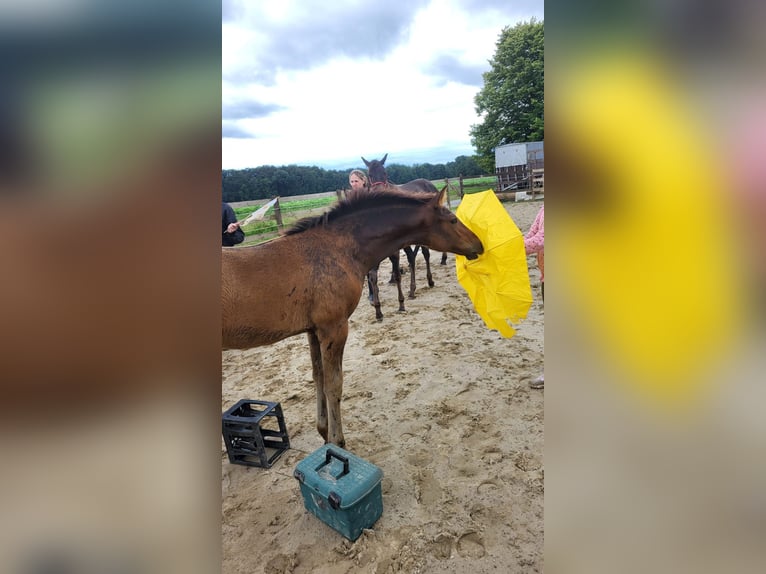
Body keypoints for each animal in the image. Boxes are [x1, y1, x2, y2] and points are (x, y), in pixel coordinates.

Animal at [224, 187, 486, 448]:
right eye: (453, 220)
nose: (480, 245)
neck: (336, 249)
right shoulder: (334, 327)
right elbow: (334, 384)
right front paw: (337, 442)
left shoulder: (313, 330)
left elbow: (318, 377)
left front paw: (324, 432)